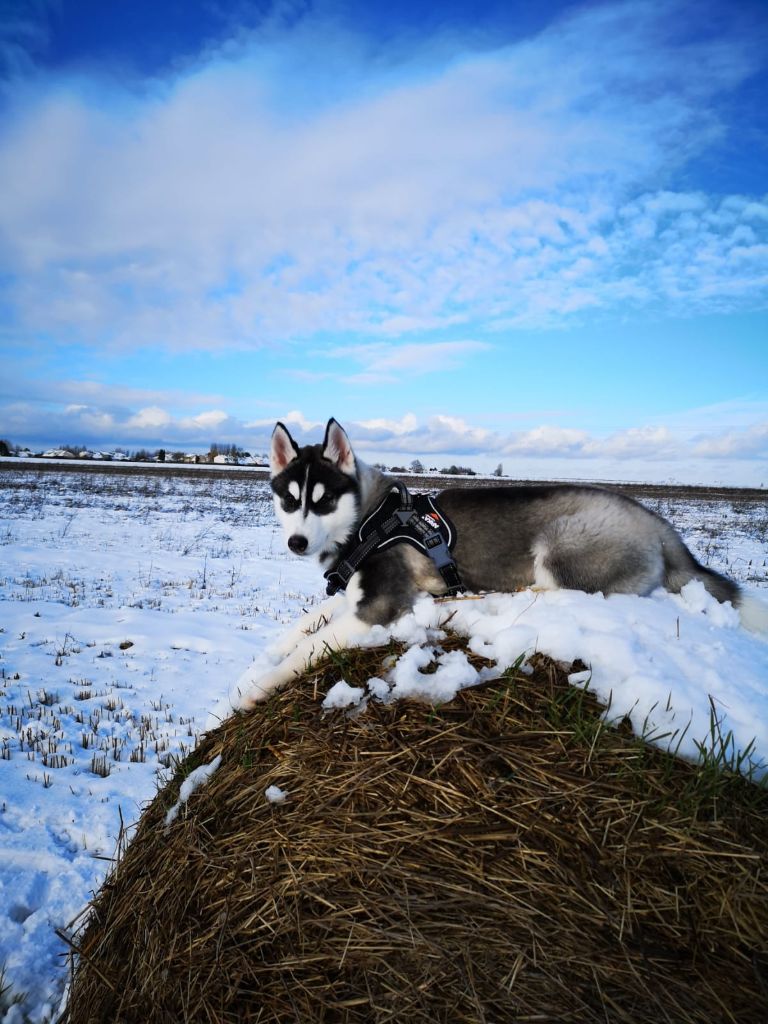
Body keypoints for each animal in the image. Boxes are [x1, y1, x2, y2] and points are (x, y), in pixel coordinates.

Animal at [237, 417, 765, 704]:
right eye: (289, 500)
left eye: (324, 501)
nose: (297, 543)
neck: (368, 522)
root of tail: (658, 523)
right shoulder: (354, 592)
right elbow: (305, 624)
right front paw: (263, 658)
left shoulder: (380, 606)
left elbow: (312, 646)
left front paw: (253, 689)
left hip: (560, 546)